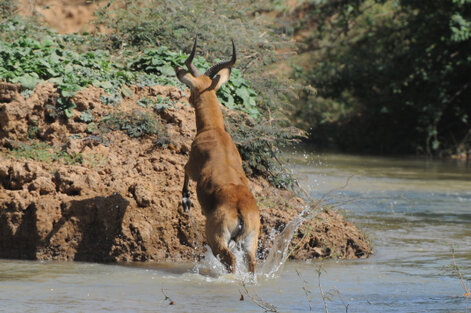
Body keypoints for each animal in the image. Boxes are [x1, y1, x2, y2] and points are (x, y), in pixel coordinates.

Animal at [174, 36, 260, 272]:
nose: (188, 99)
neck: (214, 129)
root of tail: (240, 210)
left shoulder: (192, 166)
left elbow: (184, 170)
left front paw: (185, 201)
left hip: (217, 241)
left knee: (229, 261)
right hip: (250, 245)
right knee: (250, 262)